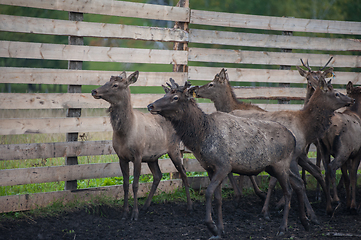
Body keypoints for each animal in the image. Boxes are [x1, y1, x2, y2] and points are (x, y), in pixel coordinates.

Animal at [90, 71, 191, 221]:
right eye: (107, 81)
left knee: (183, 173)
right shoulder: (121, 157)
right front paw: (125, 212)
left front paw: (134, 214)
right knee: (158, 175)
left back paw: (189, 206)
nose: (94, 91)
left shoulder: (137, 155)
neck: (124, 133)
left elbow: (135, 185)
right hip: (152, 157)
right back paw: (146, 206)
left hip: (174, 149)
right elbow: (125, 184)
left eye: (115, 85)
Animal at [148, 79, 310, 238]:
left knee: (288, 190)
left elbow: (208, 192)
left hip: (280, 165)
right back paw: (305, 221)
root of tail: (293, 138)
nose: (151, 105)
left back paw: (283, 228)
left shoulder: (223, 166)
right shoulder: (210, 168)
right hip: (274, 167)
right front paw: (220, 231)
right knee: (298, 183)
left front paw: (212, 227)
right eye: (166, 93)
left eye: (175, 97)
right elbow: (218, 198)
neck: (201, 137)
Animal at [318, 81, 360, 215]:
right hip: (342, 150)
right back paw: (336, 199)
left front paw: (348, 204)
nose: (352, 100)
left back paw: (328, 207)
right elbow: (353, 176)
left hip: (324, 149)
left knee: (325, 171)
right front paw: (353, 205)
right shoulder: (357, 153)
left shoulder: (348, 156)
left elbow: (346, 178)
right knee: (331, 167)